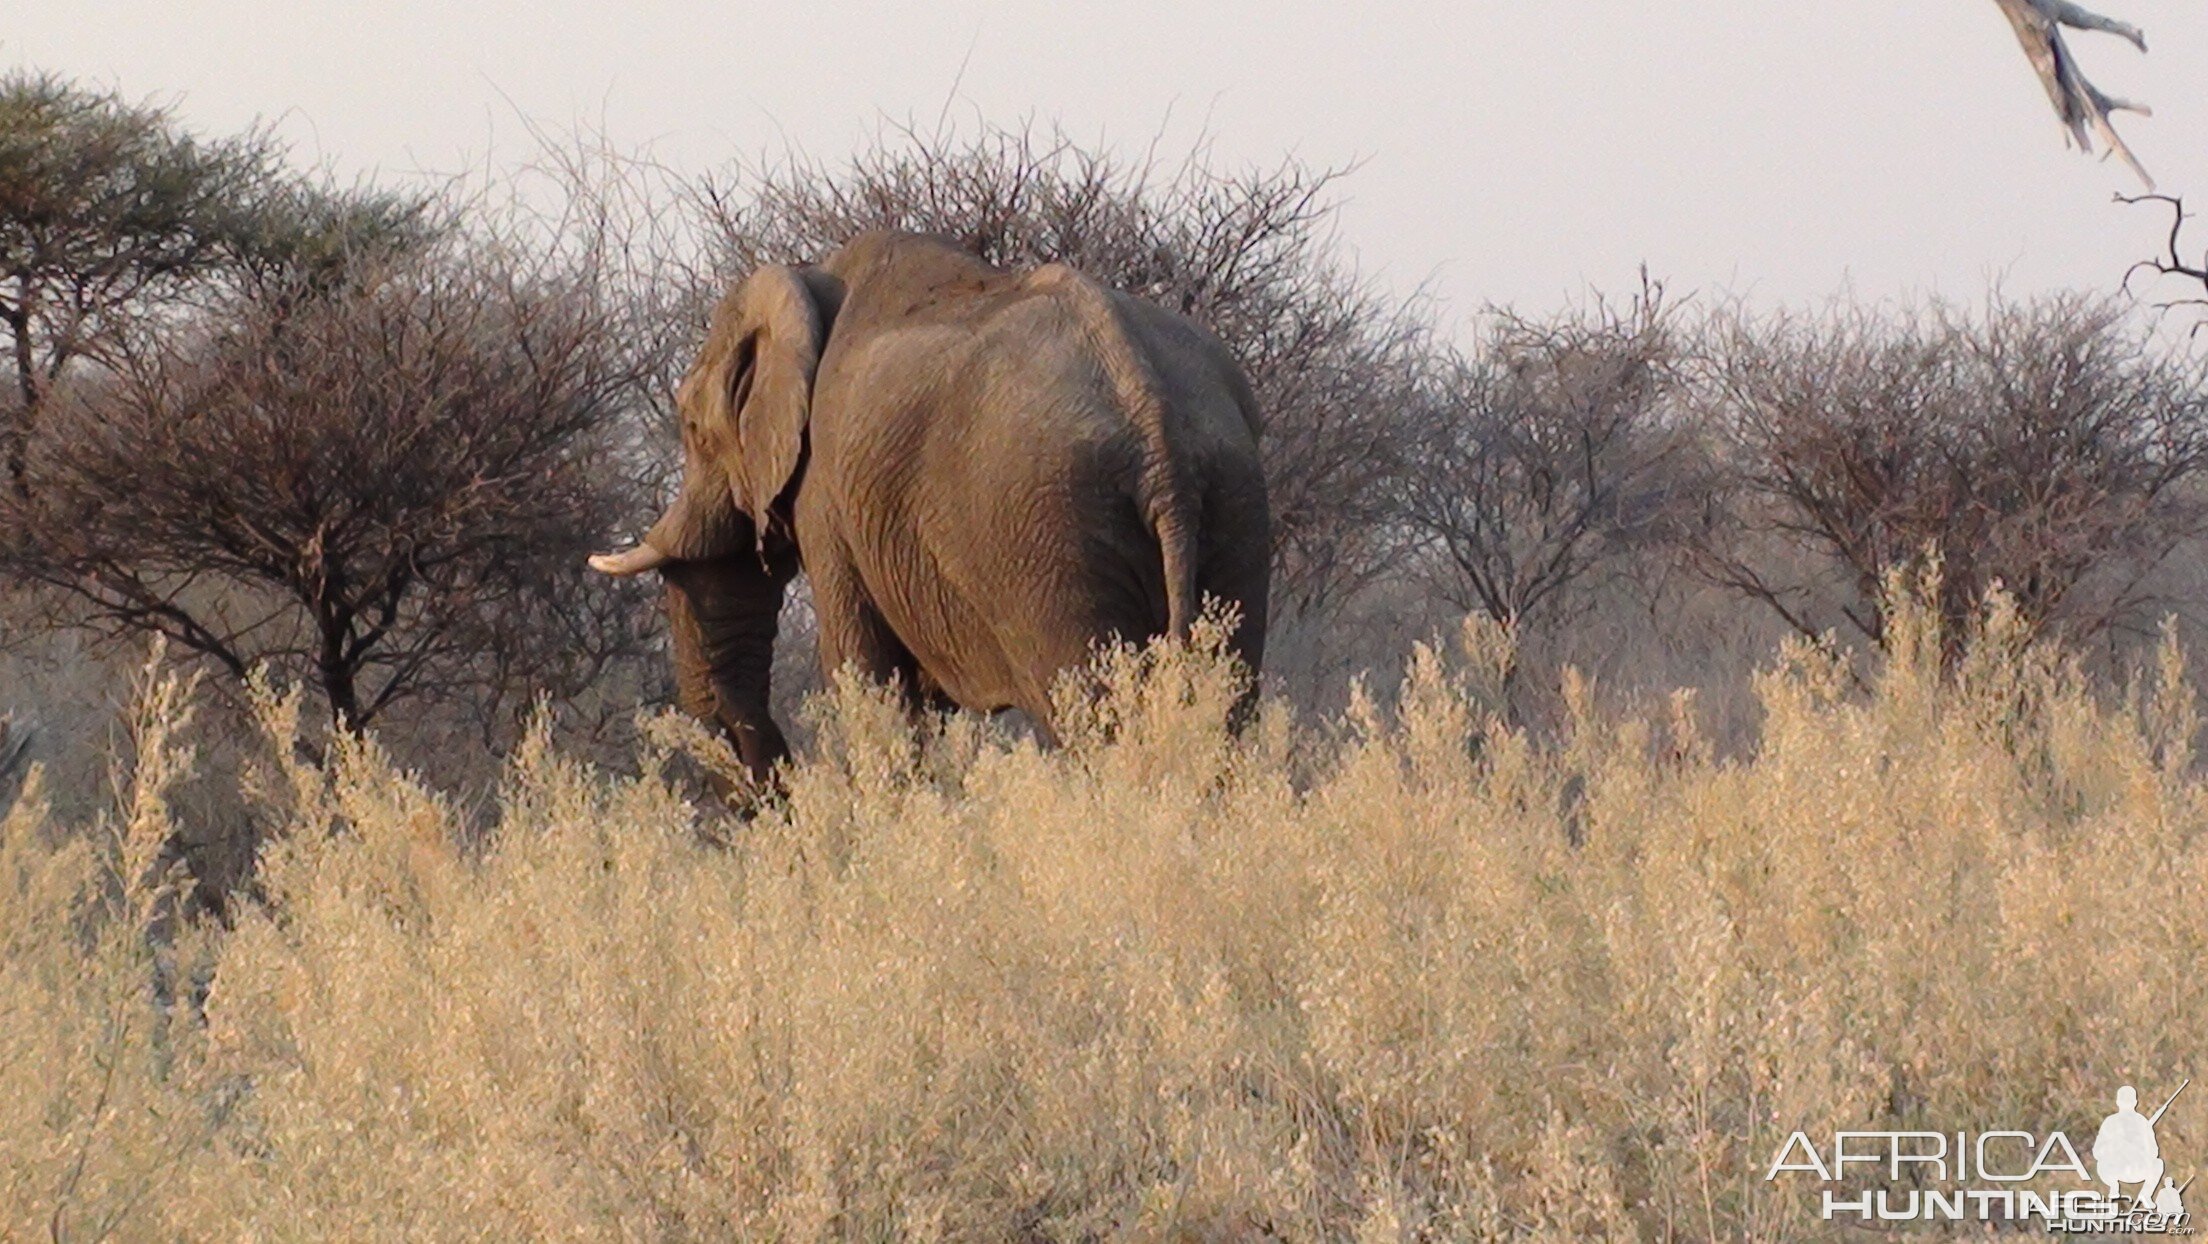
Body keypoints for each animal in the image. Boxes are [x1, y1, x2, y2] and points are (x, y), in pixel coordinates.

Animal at [591, 228, 1280, 782]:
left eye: (689, 426)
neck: (810, 286)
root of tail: (1153, 421)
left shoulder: (828, 495)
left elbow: (864, 671)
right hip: (1233, 504)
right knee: (1225, 698)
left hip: (1045, 529)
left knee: (1087, 708)